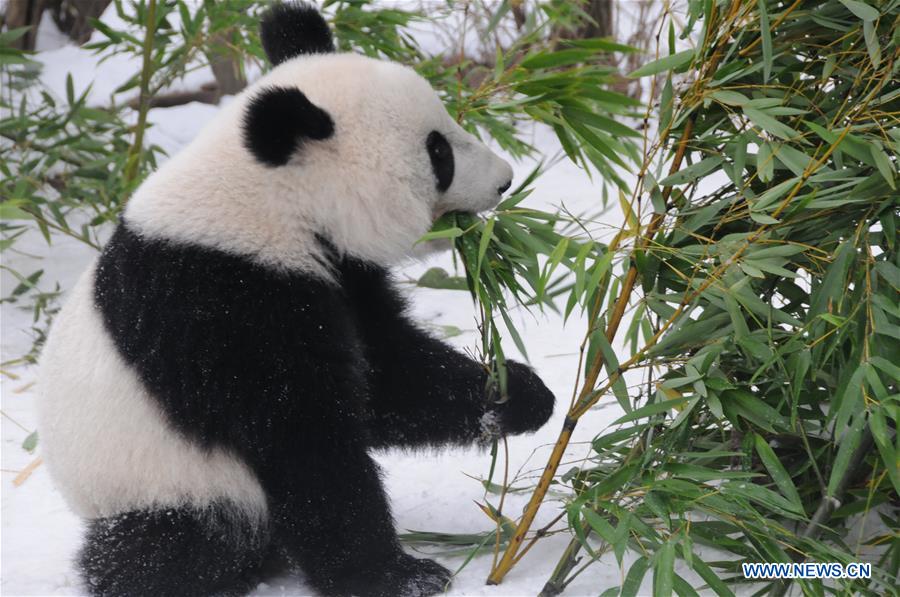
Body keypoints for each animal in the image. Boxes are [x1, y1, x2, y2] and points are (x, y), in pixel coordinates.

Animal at [40, 2, 556, 592]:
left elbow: (387, 378)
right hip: (163, 481)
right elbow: (305, 443)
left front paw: (518, 392)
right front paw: (395, 574)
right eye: (438, 151)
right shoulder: (225, 300)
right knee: (171, 544)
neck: (272, 200)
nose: (505, 180)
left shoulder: (339, 273)